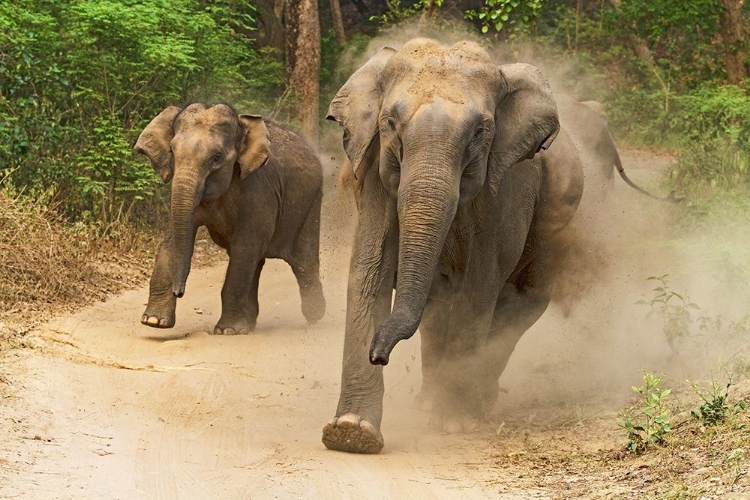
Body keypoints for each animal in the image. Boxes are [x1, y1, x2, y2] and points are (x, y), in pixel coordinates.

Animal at [137, 103, 324, 334]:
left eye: (216, 158)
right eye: (172, 151)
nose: (178, 292)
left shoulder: (259, 190)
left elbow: (244, 247)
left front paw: (227, 331)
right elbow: (172, 242)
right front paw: (153, 321)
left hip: (311, 203)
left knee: (303, 260)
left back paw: (315, 315)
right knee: (257, 262)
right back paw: (249, 324)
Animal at [324, 39, 588, 454]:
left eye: (480, 132)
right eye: (390, 124)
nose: (378, 356)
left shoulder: (507, 183)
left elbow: (480, 284)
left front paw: (455, 424)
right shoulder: (374, 171)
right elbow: (369, 271)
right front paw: (351, 433)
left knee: (520, 303)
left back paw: (477, 402)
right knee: (440, 307)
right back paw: (430, 401)